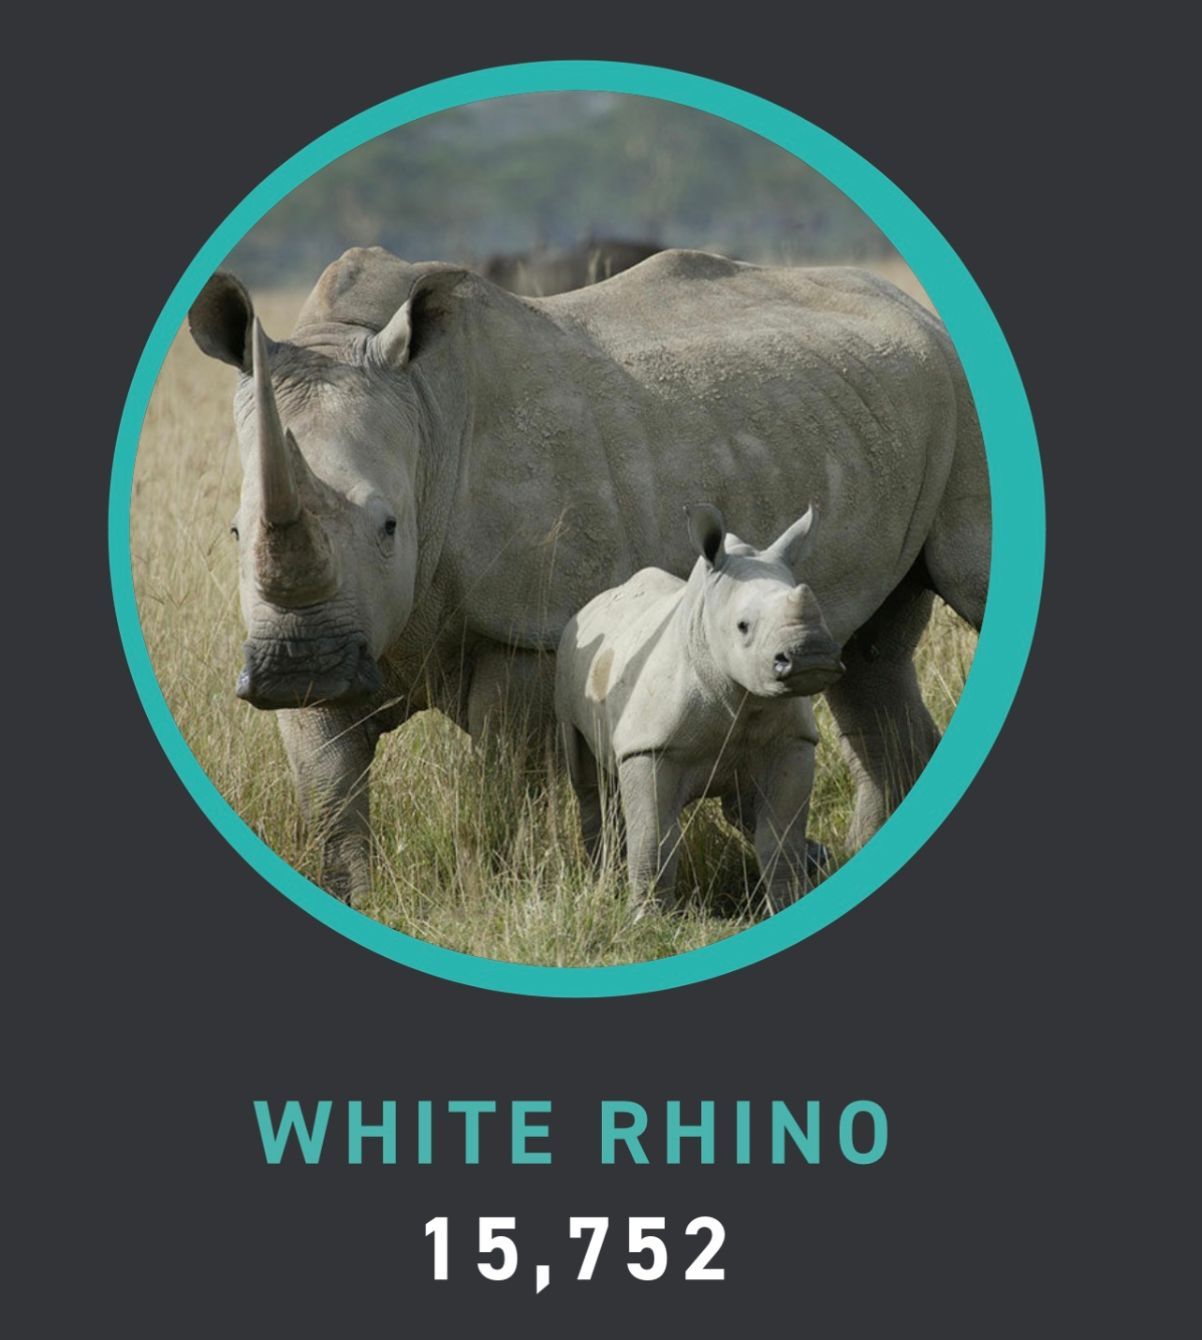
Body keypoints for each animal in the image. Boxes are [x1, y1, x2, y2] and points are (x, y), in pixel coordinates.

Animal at [556, 501, 843, 911]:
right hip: (570, 665)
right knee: (589, 783)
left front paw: (790, 901)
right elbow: (655, 838)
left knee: (744, 807)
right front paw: (647, 917)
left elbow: (780, 837)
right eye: (742, 626)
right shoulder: (648, 747)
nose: (812, 656)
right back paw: (603, 878)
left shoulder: (792, 741)